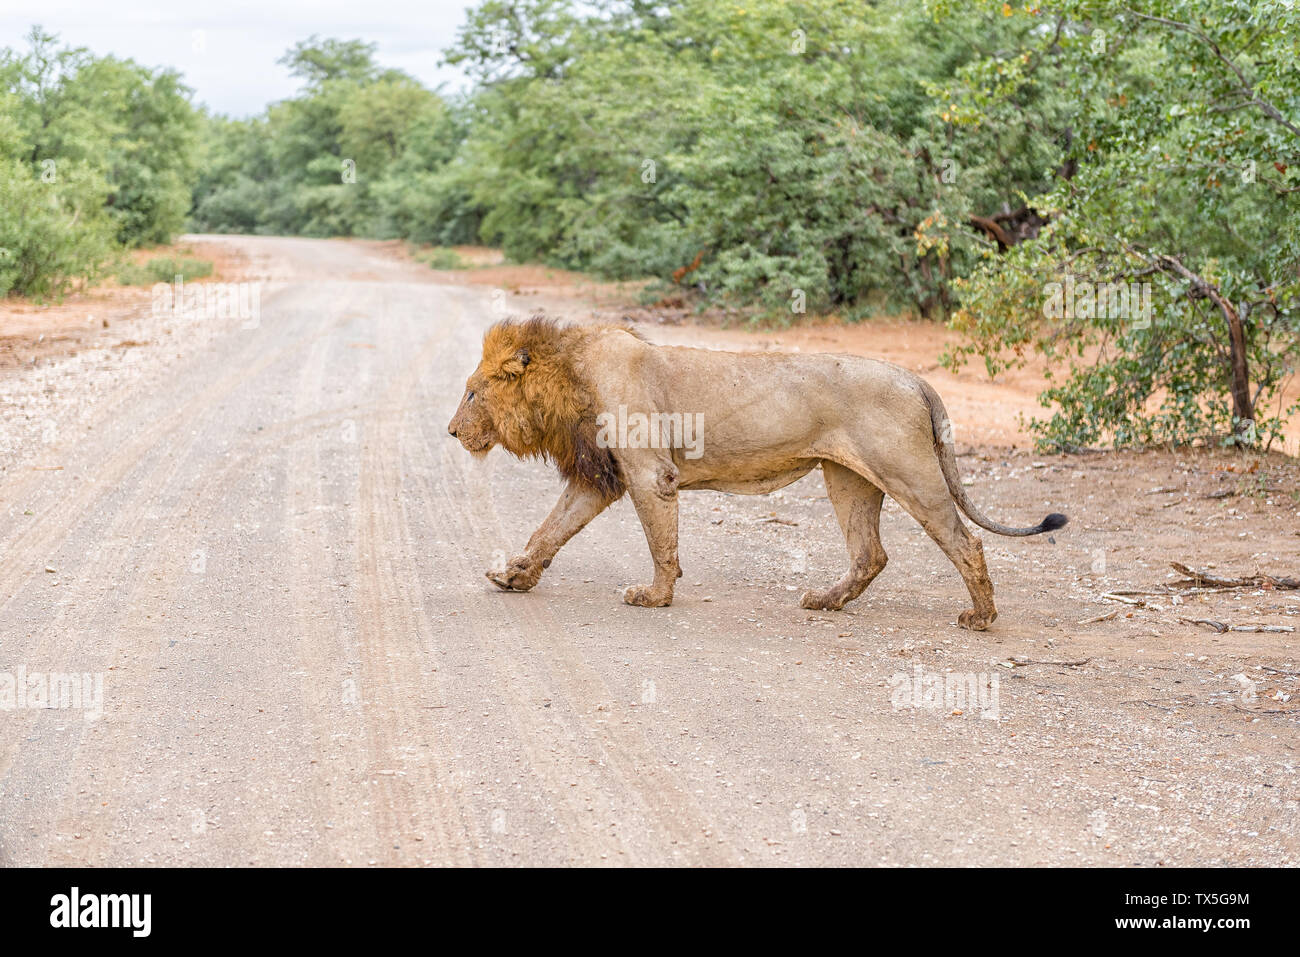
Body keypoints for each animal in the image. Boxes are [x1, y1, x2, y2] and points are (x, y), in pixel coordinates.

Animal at [447, 315, 1066, 629]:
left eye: (472, 393)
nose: (452, 432)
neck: (570, 370)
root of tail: (915, 377)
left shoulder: (649, 473)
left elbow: (660, 543)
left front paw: (654, 597)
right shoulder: (605, 478)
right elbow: (549, 530)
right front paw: (514, 577)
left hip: (909, 473)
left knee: (966, 543)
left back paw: (981, 616)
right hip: (848, 478)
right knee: (870, 554)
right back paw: (825, 601)